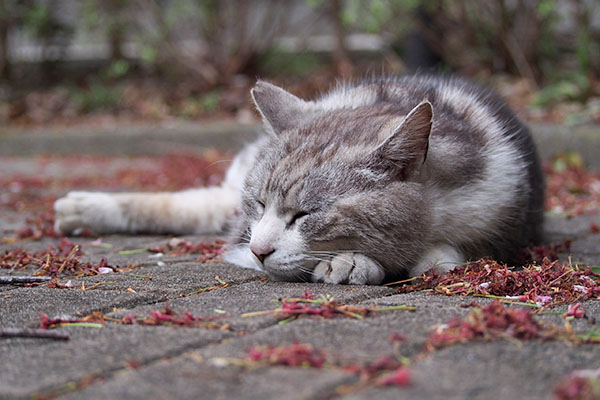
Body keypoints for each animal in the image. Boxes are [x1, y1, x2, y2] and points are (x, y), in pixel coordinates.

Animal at [54, 75, 548, 284]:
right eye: (259, 204)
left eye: (305, 215)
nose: (257, 249)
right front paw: (352, 262)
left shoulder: (502, 214)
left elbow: (445, 257)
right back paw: (82, 209)